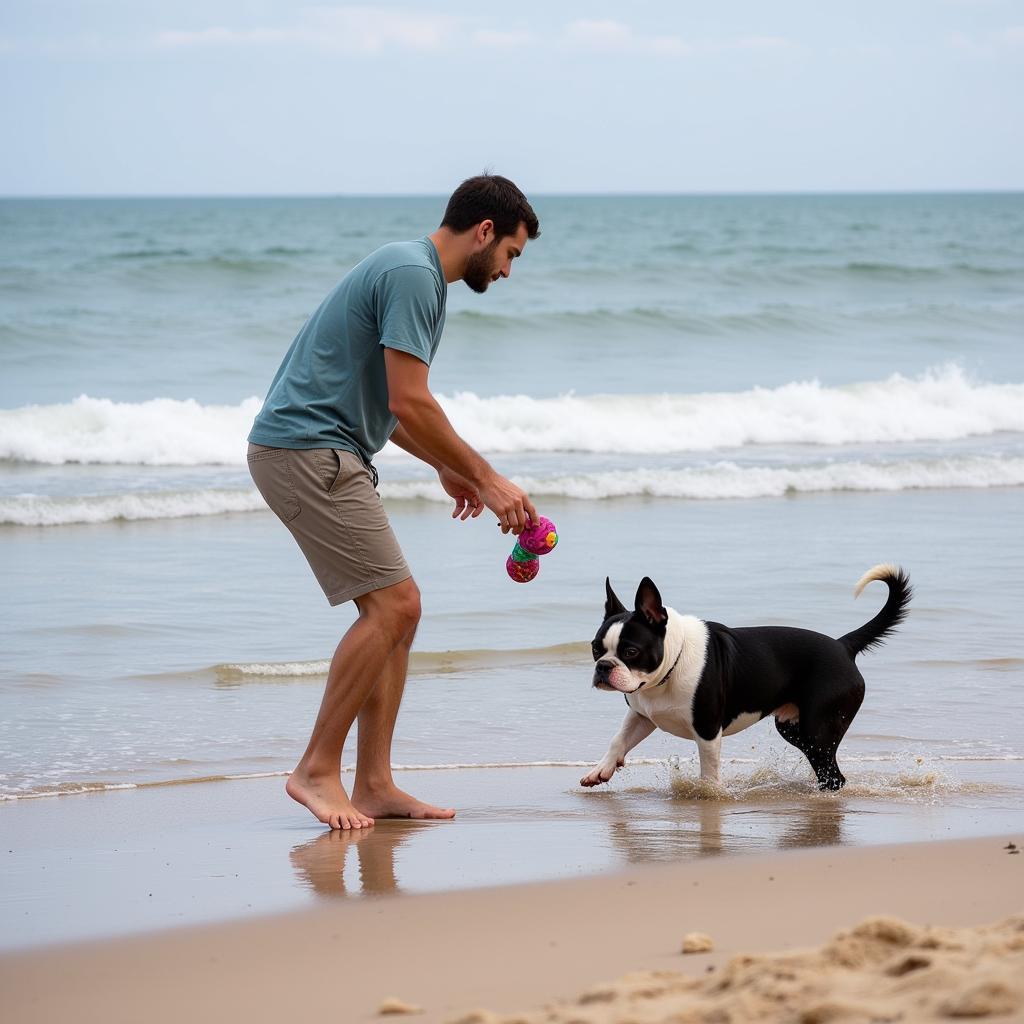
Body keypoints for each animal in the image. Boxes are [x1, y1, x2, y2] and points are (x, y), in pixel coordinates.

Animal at [585, 569, 913, 790]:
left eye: (631, 651)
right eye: (595, 648)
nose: (603, 667)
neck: (669, 668)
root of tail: (844, 645)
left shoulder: (707, 729)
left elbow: (709, 768)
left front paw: (710, 797)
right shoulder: (642, 715)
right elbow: (619, 739)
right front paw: (601, 770)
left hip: (818, 730)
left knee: (833, 775)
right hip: (793, 728)